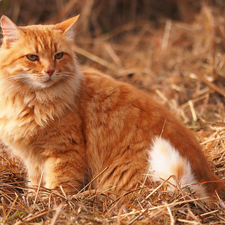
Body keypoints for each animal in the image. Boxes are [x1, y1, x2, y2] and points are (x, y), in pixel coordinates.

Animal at [0, 14, 224, 200]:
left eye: (58, 56)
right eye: (32, 57)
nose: (49, 71)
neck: (31, 101)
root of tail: (212, 182)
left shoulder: (64, 152)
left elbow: (58, 187)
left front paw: (47, 204)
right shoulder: (33, 160)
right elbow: (35, 183)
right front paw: (33, 199)